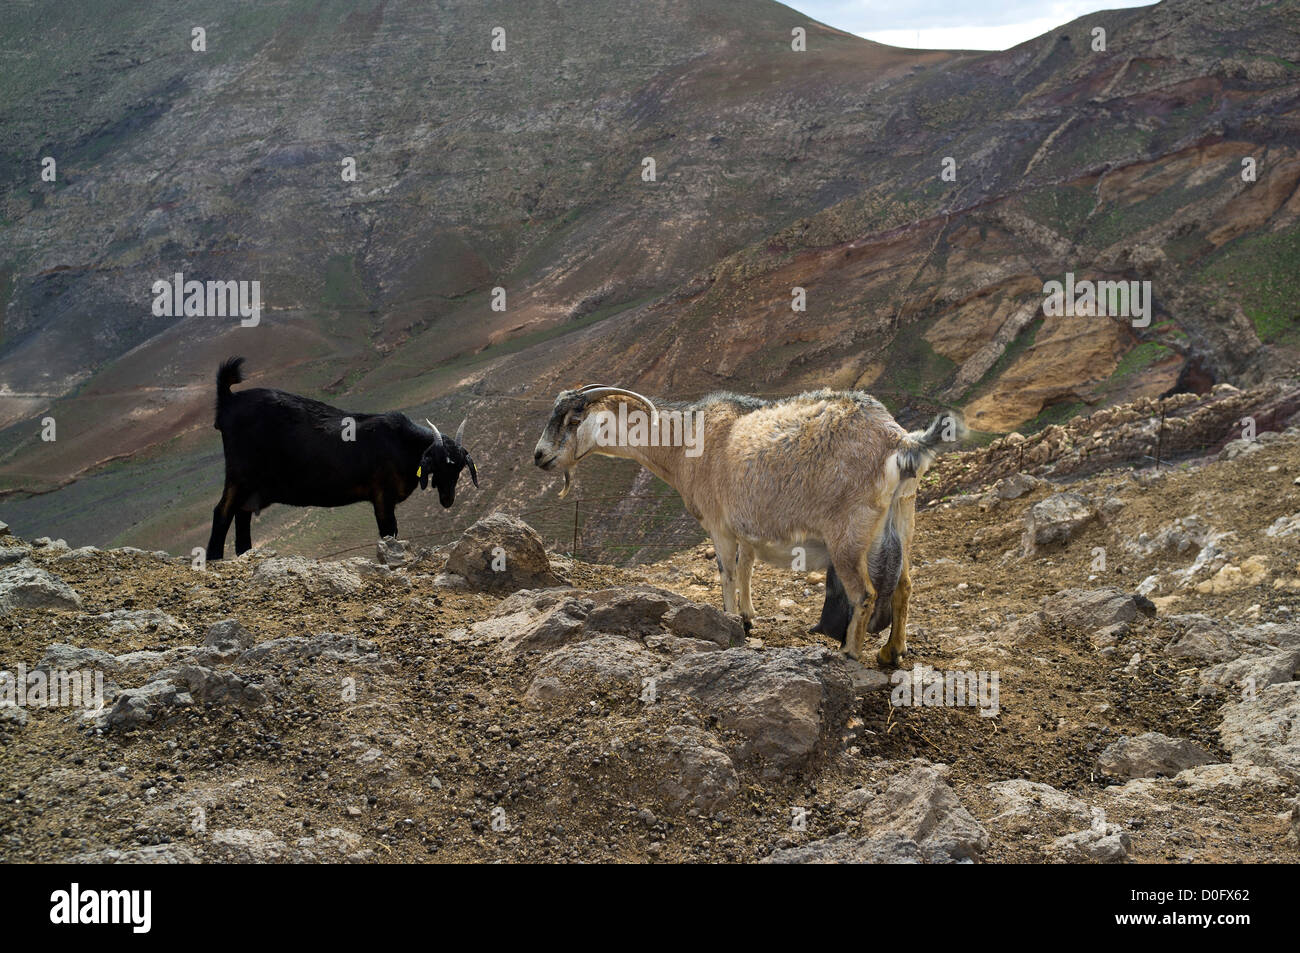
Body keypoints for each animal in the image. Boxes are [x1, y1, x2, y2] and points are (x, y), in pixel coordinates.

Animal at [206, 356, 478, 556]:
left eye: (459, 468)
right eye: (439, 464)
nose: (448, 500)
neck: (402, 443)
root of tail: (229, 400)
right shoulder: (382, 496)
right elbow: (389, 531)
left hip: (251, 485)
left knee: (242, 514)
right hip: (239, 474)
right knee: (222, 512)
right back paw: (213, 559)